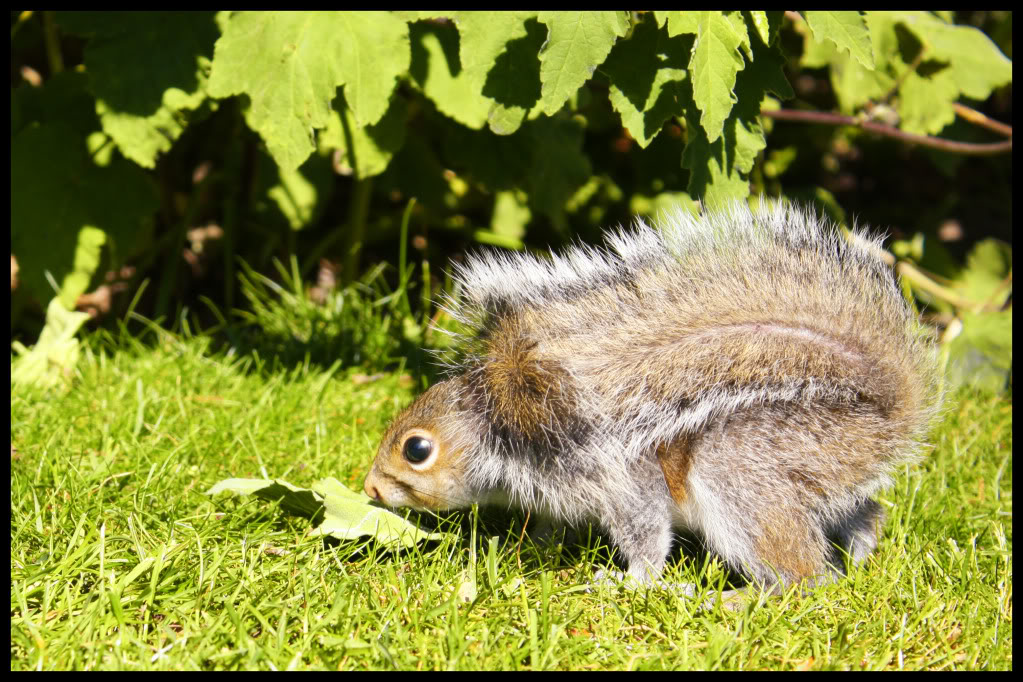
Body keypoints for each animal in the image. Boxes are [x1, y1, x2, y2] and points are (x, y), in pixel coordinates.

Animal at [363, 201, 942, 593]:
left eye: (417, 449)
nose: (369, 488)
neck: (516, 428)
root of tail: (885, 419)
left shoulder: (622, 482)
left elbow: (645, 532)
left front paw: (628, 581)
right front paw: (530, 544)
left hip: (745, 466)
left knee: (803, 578)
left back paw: (737, 598)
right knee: (862, 511)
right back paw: (861, 549)